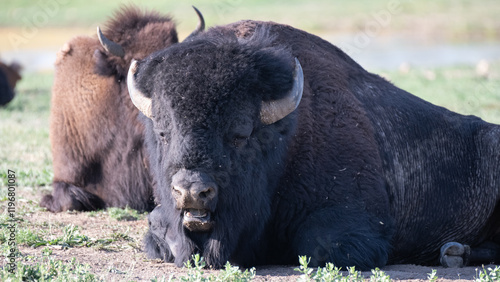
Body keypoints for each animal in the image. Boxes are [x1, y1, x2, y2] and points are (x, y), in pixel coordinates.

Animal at [126, 20, 500, 268]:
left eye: (240, 134)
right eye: (163, 132)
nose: (191, 191)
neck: (286, 137)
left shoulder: (353, 220)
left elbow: (317, 244)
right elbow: (159, 232)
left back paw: (454, 254)